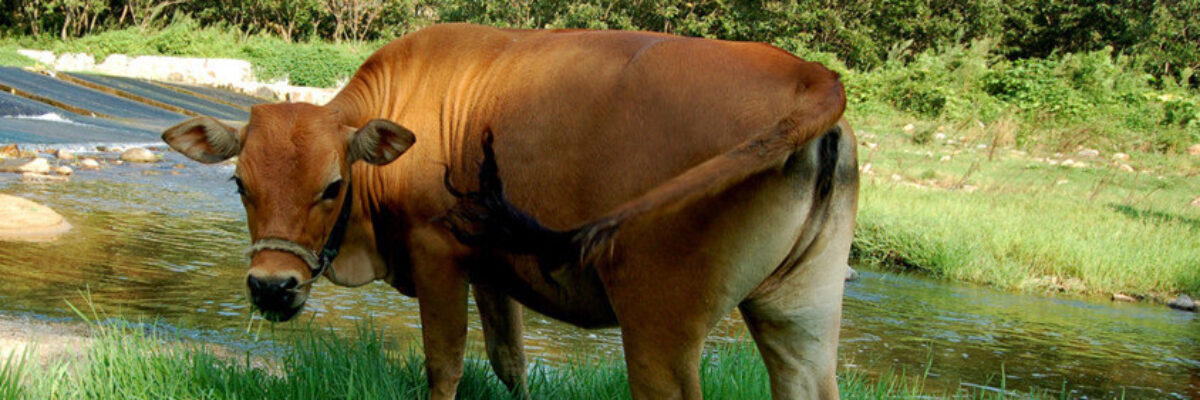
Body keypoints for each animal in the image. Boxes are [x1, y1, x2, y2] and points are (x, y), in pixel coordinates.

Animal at [162, 23, 853, 400]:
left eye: (332, 186)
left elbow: (445, 367)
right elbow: (509, 363)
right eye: (240, 183)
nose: (271, 287)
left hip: (660, 326)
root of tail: (808, 73)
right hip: (801, 317)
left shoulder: (439, 257)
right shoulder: (492, 269)